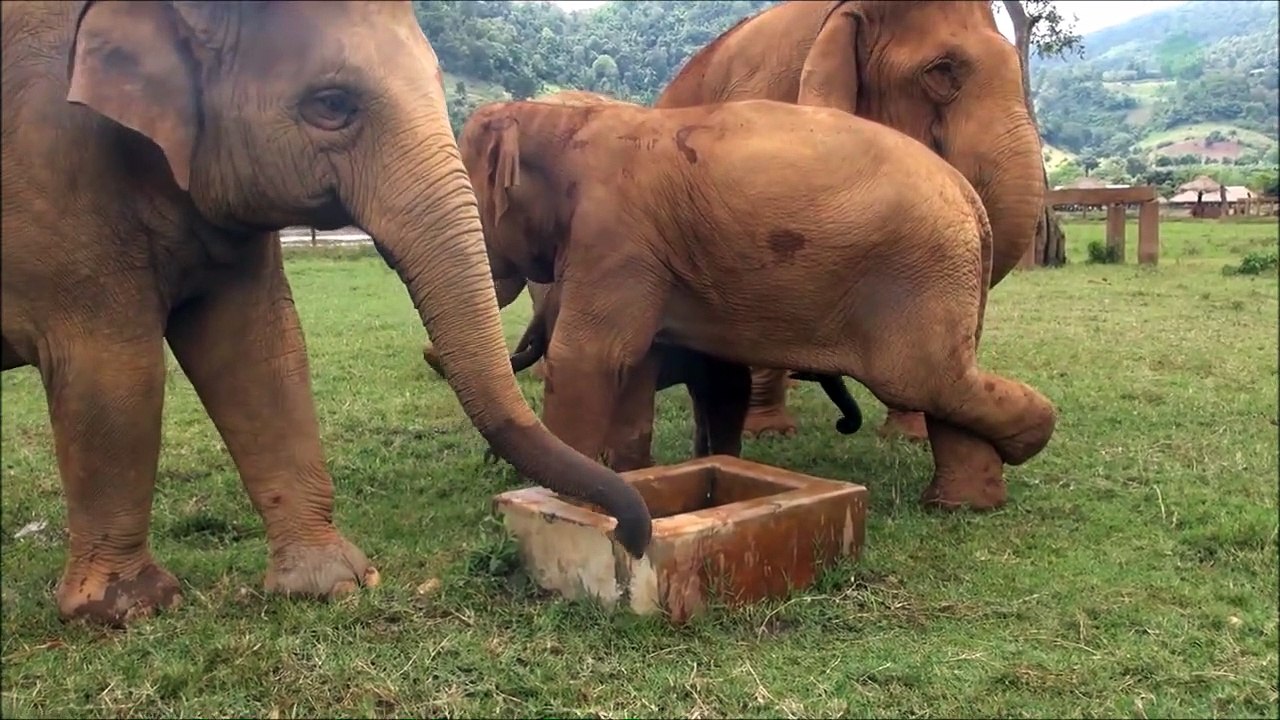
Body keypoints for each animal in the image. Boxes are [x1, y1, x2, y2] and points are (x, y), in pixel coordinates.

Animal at [0, 0, 651, 627]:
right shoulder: (59, 172)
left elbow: (258, 352)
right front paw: (132, 610)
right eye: (332, 105)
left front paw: (335, 584)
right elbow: (114, 371)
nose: (633, 534)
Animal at [455, 95, 1058, 512]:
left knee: (922, 381)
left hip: (923, 272)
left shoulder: (615, 235)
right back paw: (964, 503)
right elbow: (639, 362)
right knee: (947, 384)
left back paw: (1028, 441)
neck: (562, 121)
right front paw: (631, 475)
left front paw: (558, 499)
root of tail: (968, 196)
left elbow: (588, 357)